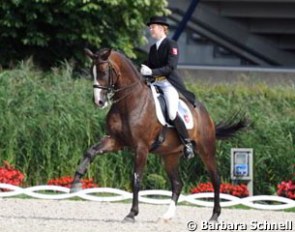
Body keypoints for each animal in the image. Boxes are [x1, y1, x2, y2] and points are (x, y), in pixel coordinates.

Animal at [70, 48, 249, 222]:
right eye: (91, 72)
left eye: (103, 72)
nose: (99, 102)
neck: (130, 101)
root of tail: (205, 113)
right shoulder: (116, 141)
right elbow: (91, 151)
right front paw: (75, 184)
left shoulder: (141, 147)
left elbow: (136, 178)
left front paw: (132, 213)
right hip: (170, 156)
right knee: (177, 184)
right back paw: (167, 216)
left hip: (206, 150)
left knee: (215, 179)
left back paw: (214, 216)